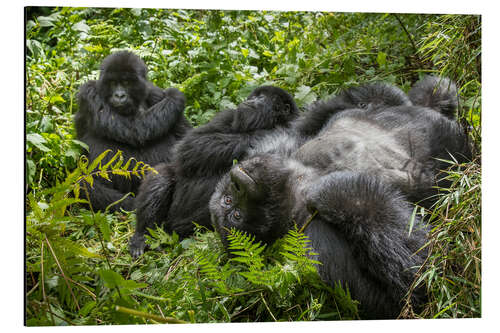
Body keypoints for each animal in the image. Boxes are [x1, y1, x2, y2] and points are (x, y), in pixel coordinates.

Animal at [74, 51, 191, 213]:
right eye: (113, 83)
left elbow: (185, 137)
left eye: (126, 82)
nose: (119, 96)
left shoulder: (155, 93)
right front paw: (175, 97)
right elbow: (134, 130)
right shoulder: (88, 92)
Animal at [130, 85, 300, 256]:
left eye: (262, 98)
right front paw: (262, 135)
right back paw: (142, 235)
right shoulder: (229, 115)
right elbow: (191, 145)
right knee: (163, 176)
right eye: (255, 96)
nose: (250, 101)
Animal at [209, 76, 470, 320]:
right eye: (235, 214)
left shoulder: (282, 145)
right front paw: (334, 191)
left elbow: (316, 116)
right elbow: (411, 287)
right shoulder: (316, 243)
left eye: (227, 199)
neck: (294, 184)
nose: (237, 183)